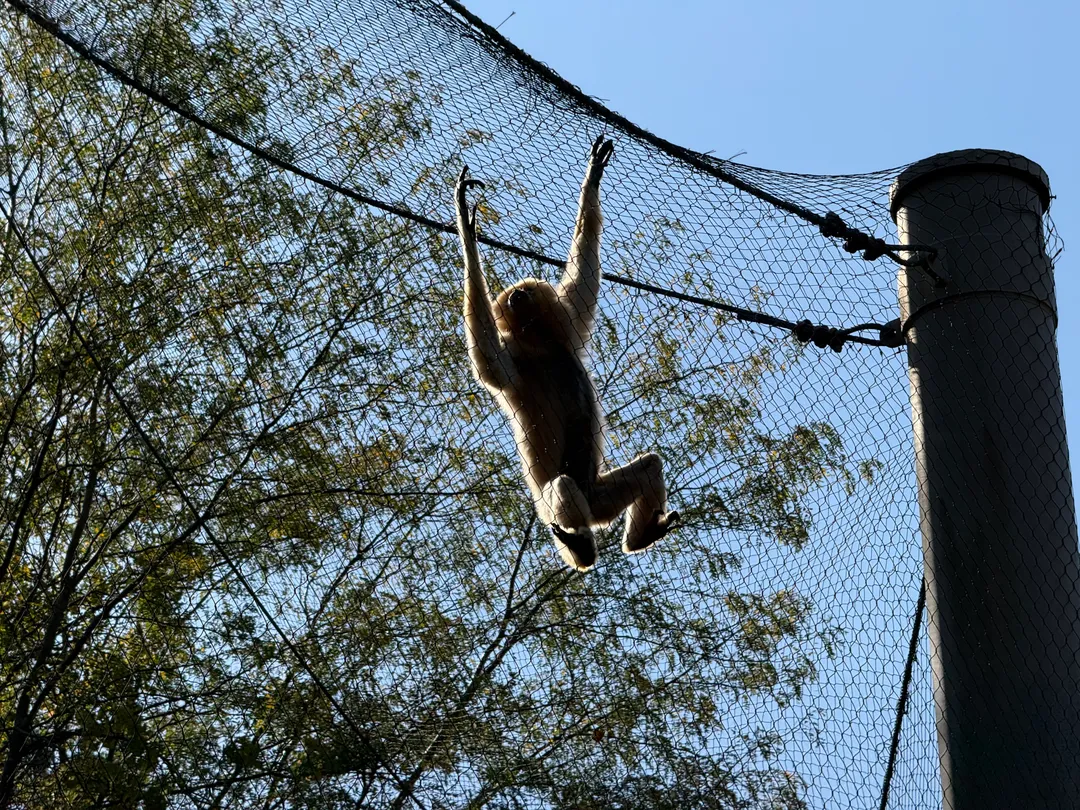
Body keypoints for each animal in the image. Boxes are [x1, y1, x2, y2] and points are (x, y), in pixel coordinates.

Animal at [455, 136, 680, 571]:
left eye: (521, 293)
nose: (517, 297)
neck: (542, 347)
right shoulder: (515, 365)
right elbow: (488, 360)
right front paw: (466, 230)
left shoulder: (568, 328)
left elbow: (585, 276)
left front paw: (592, 180)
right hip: (550, 505)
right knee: (561, 487)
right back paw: (582, 548)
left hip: (601, 497)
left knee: (648, 466)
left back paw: (640, 535)